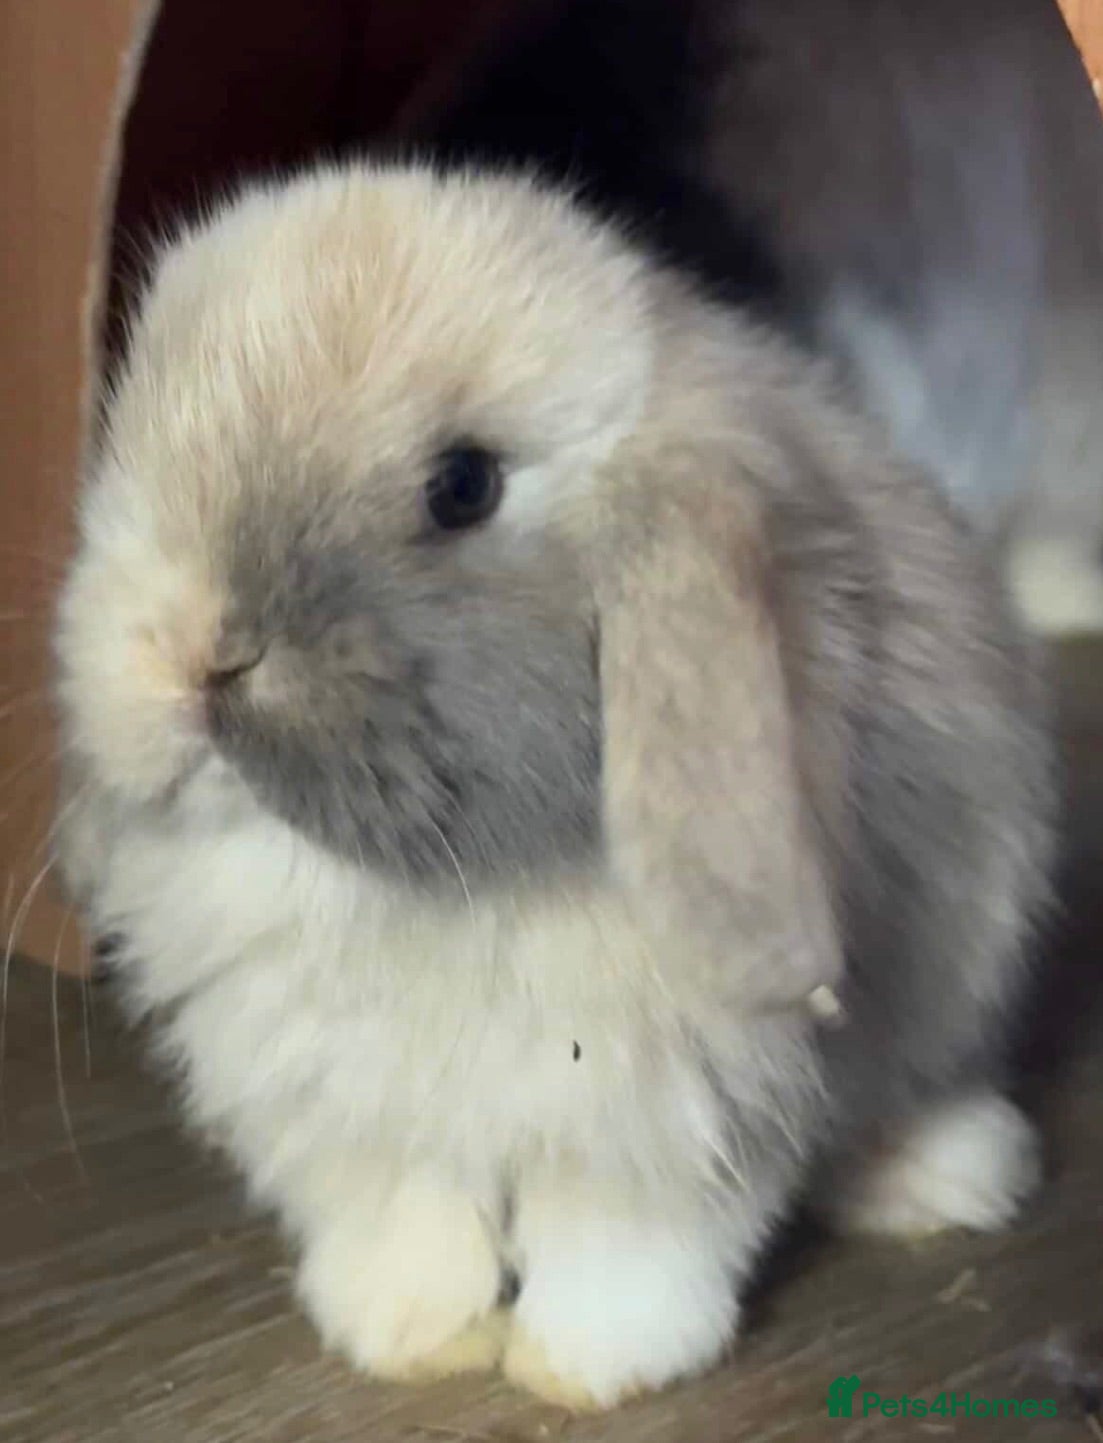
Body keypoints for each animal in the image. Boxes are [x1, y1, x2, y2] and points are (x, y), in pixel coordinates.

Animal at [54, 163, 1055, 1410]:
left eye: (462, 486)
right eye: (134, 427)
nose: (191, 654)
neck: (405, 891)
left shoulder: (669, 1115)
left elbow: (625, 1248)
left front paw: (577, 1368)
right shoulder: (358, 1120)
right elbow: (411, 1225)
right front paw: (409, 1339)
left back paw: (946, 1176)